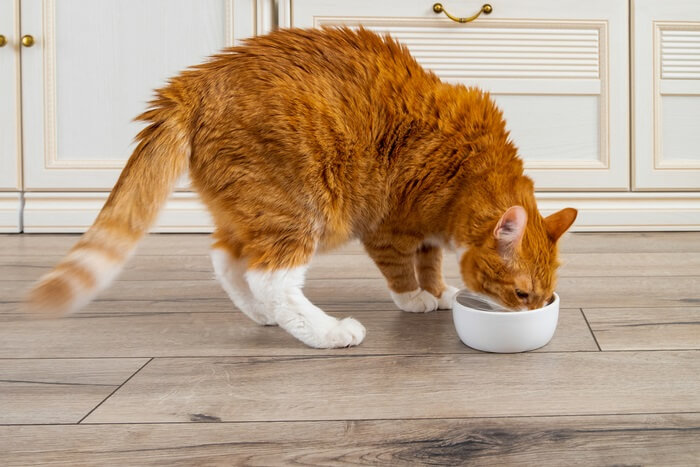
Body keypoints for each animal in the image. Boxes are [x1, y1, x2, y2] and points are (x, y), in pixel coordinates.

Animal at [24, 25, 576, 348]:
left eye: (546, 295)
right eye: (522, 294)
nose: (534, 312)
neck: (470, 169)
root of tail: (195, 84)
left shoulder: (427, 231)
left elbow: (431, 260)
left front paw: (438, 291)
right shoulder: (389, 228)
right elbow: (403, 270)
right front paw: (415, 300)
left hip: (250, 208)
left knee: (227, 260)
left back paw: (260, 314)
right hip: (300, 210)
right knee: (272, 278)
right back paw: (328, 332)